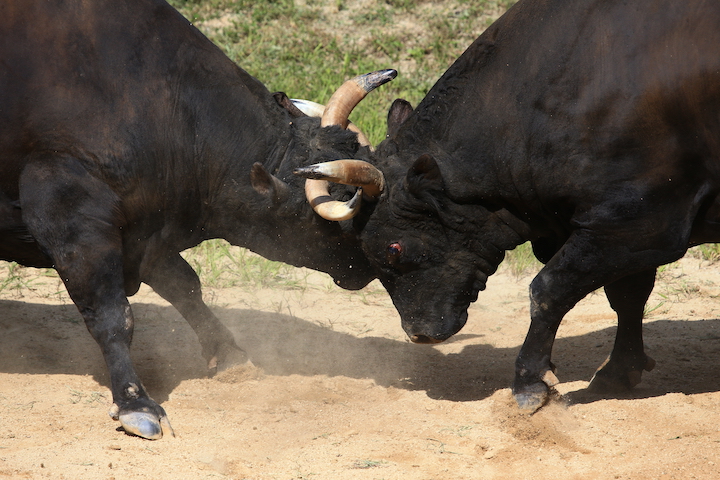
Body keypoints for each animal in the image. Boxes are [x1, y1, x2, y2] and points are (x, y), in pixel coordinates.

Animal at [0, 0, 396, 438]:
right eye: (345, 207)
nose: (374, 260)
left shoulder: (147, 232)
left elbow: (186, 287)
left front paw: (230, 354)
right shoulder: (70, 214)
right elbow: (111, 313)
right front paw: (135, 402)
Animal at [296, 0, 720, 410]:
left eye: (394, 248)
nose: (419, 334)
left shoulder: (639, 224)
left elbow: (548, 289)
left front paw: (530, 383)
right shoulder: (620, 232)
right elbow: (626, 297)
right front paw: (618, 372)